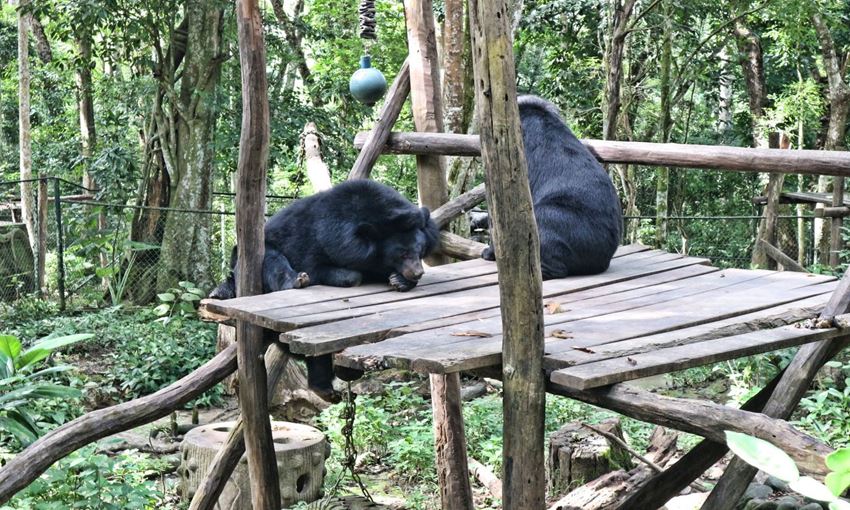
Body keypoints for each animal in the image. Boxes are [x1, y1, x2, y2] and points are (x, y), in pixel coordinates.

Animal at [209, 179, 440, 398]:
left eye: (420, 250)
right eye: (402, 254)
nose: (417, 273)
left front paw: (399, 280)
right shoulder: (322, 238)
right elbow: (320, 266)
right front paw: (351, 276)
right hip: (258, 254)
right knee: (273, 262)